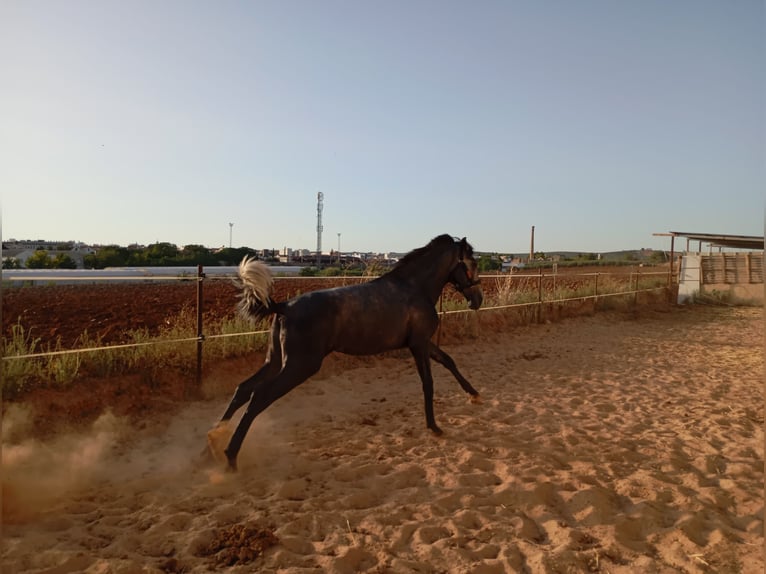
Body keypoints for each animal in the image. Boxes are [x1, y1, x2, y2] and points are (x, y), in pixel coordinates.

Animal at [208, 234, 486, 472]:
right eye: (472, 262)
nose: (478, 299)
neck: (415, 288)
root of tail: (284, 306)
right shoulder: (418, 344)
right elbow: (428, 383)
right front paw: (435, 427)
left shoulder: (423, 343)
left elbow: (449, 361)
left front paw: (474, 395)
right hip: (300, 366)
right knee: (258, 396)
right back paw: (230, 458)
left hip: (276, 361)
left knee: (243, 389)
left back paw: (214, 441)